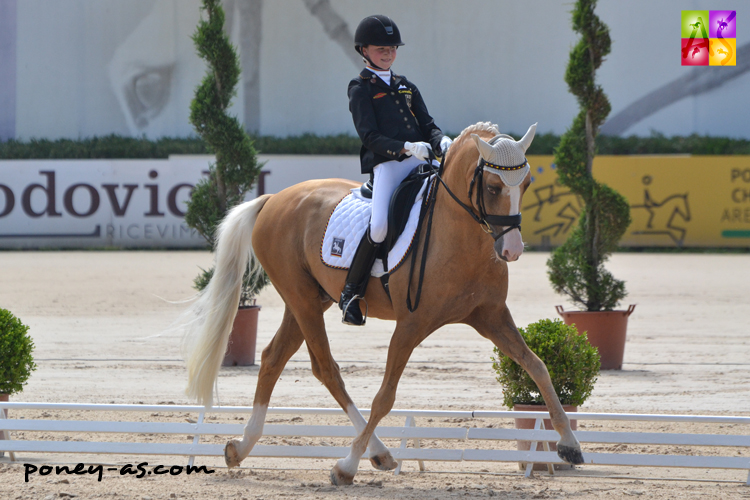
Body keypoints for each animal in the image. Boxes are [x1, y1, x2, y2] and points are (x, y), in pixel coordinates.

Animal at [184, 121, 588, 484]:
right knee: (326, 369)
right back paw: (374, 453)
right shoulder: (410, 326)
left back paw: (241, 448)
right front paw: (345, 467)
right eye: (492, 186)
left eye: (527, 184)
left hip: (307, 301)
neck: (461, 236)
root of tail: (274, 199)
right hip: (303, 300)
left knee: (272, 359)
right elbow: (385, 396)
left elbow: (537, 366)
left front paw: (569, 445)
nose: (513, 250)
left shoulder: (491, 317)